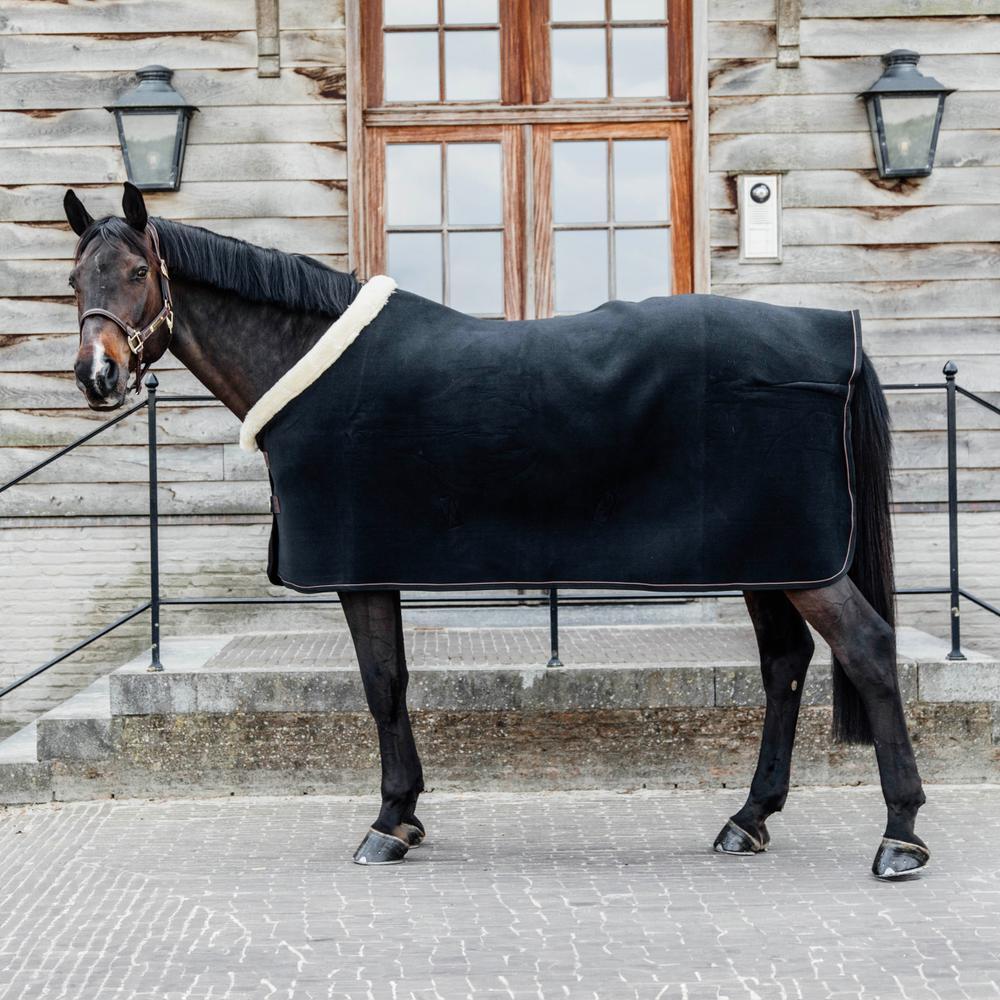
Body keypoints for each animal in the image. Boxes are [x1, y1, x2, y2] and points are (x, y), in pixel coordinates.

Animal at [64, 184, 928, 879]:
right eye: (75, 279)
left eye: (137, 273)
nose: (97, 376)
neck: (307, 361)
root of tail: (839, 336)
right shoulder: (375, 567)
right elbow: (394, 681)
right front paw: (406, 816)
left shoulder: (357, 567)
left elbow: (381, 686)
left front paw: (388, 823)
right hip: (770, 556)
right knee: (786, 662)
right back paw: (748, 821)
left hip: (802, 563)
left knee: (868, 649)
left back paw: (901, 837)